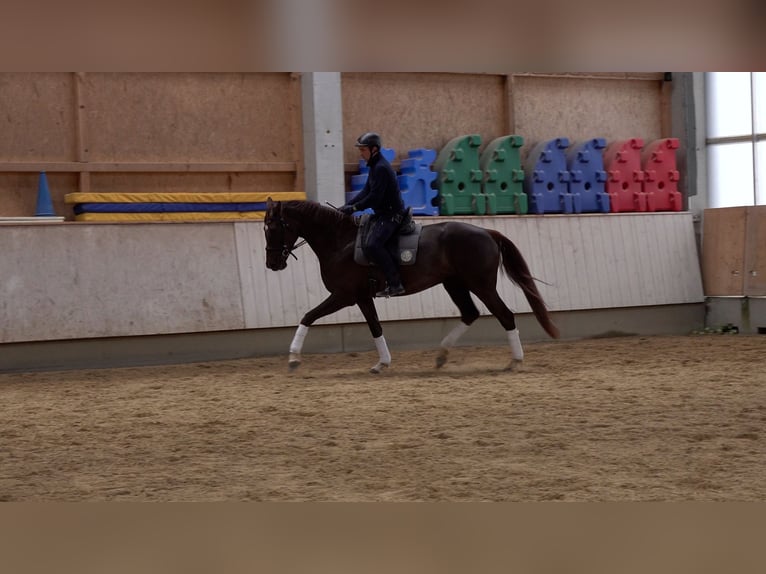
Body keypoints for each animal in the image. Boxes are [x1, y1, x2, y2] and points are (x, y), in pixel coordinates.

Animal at [268, 200, 560, 376]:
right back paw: (441, 356)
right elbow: (375, 327)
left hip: (481, 285)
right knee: (470, 313)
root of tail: (488, 232)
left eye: (274, 228)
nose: (272, 264)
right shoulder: (362, 297)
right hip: (455, 284)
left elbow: (308, 316)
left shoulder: (344, 296)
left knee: (505, 315)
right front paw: (382, 363)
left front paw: (293, 359)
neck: (340, 241)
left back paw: (515, 361)